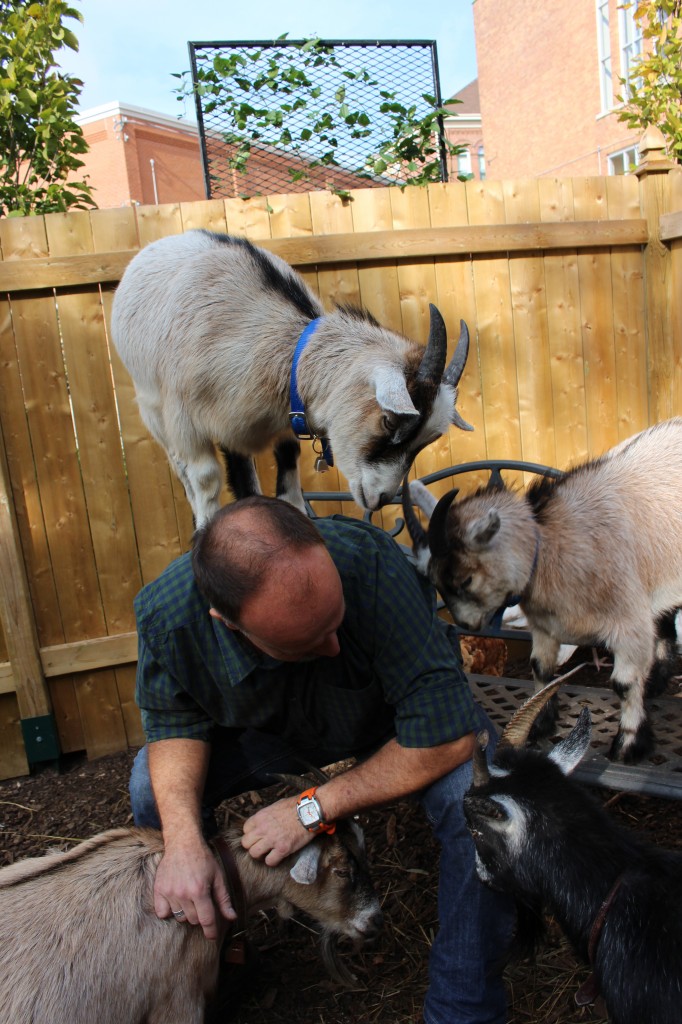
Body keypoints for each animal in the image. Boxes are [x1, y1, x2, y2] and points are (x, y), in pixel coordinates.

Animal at [112, 229, 473, 524]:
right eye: (388, 421)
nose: (381, 498)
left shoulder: (278, 419)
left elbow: (287, 465)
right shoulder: (186, 422)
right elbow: (205, 479)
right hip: (154, 411)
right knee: (183, 471)